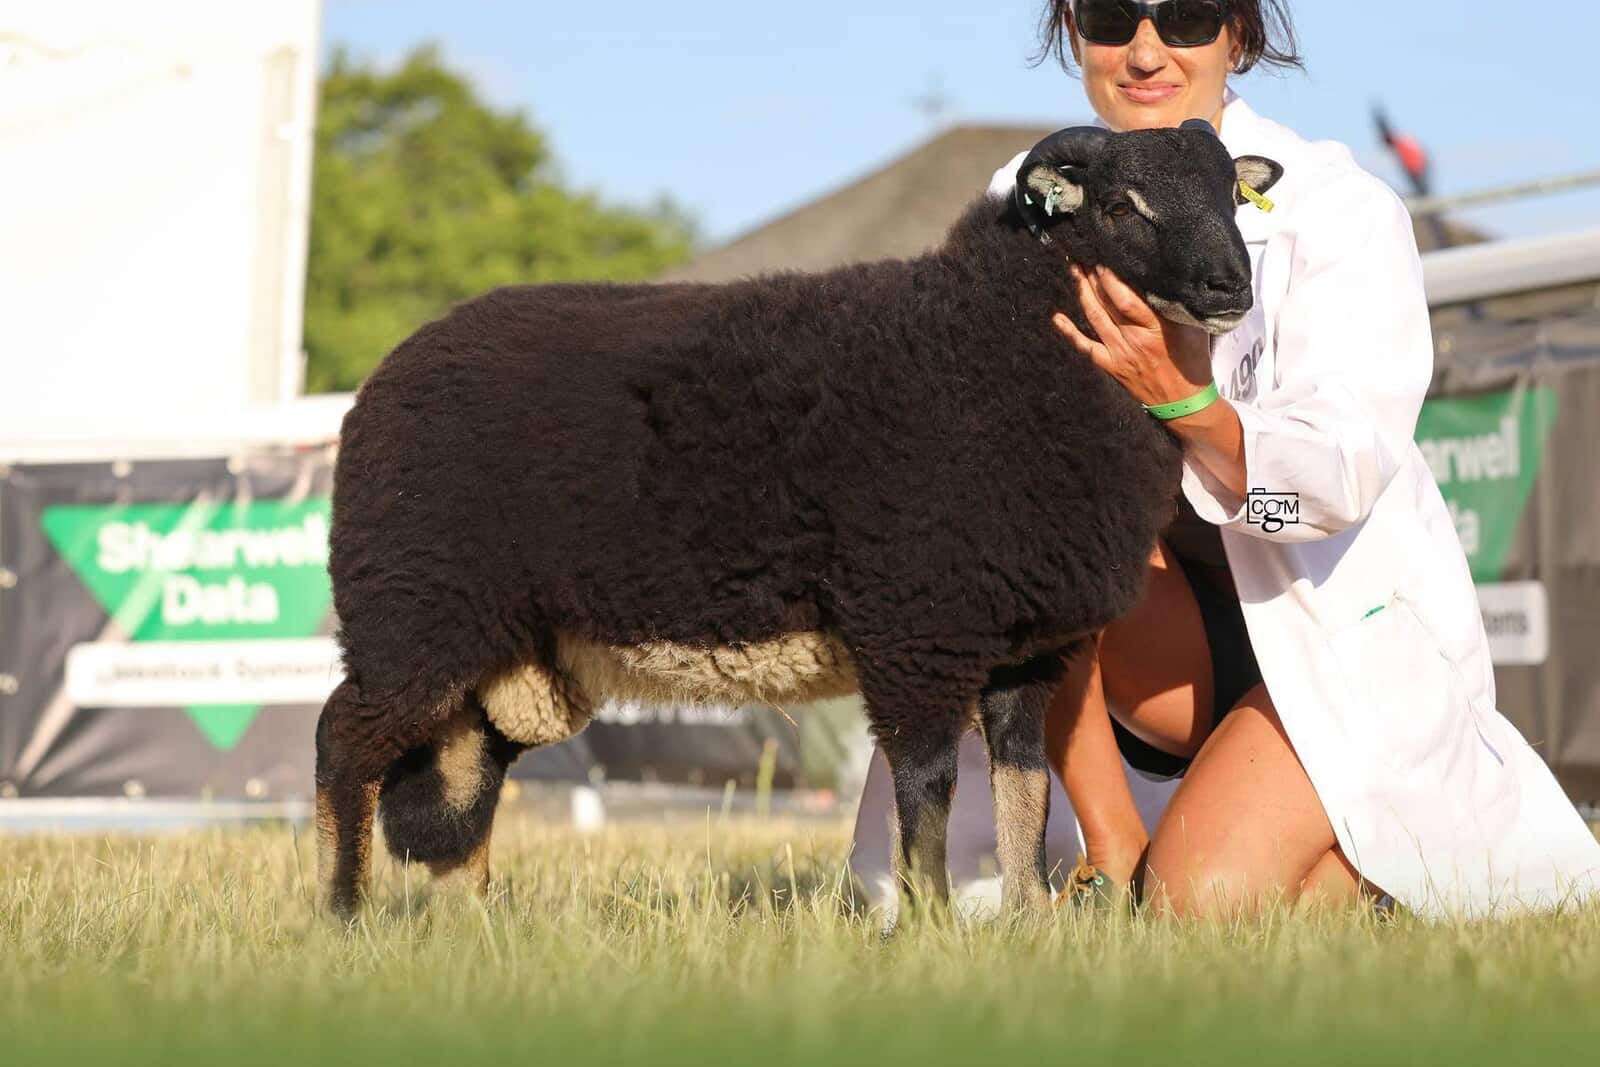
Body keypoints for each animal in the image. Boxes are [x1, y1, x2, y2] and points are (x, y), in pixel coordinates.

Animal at [314, 118, 1285, 921]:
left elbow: (1025, 795)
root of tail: (389, 373)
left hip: (501, 655)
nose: (1229, 286)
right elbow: (927, 788)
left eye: (1234, 197)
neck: (993, 345)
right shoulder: (915, 629)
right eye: (1123, 205)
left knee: (465, 777)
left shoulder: (1025, 655)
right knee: (343, 739)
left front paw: (1023, 925)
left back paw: (469, 926)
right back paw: (342, 915)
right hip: (416, 611)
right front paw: (930, 926)